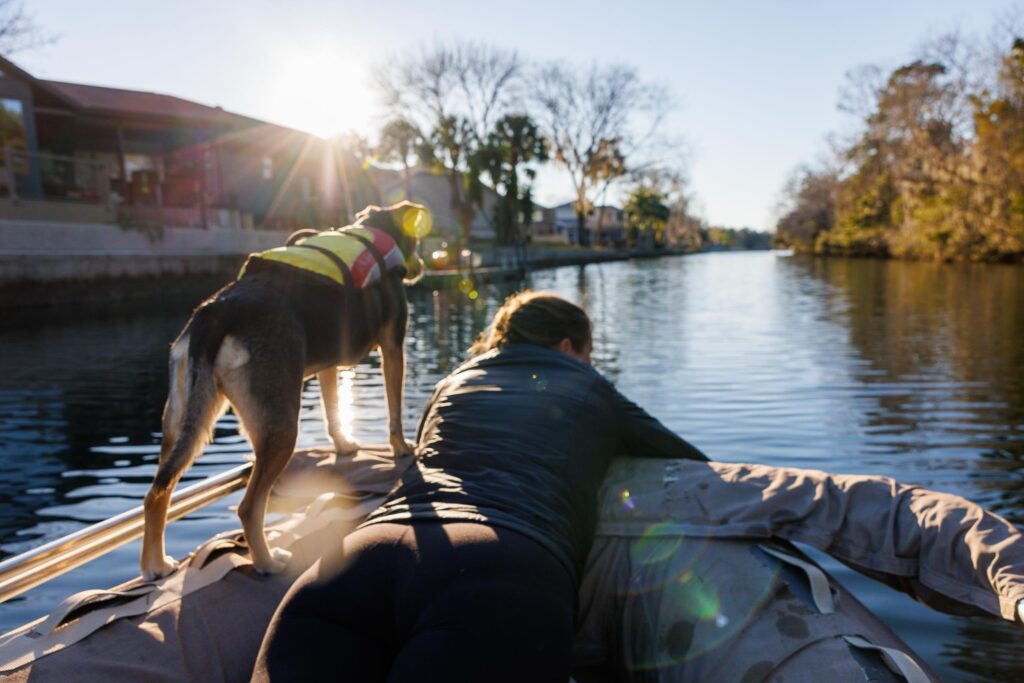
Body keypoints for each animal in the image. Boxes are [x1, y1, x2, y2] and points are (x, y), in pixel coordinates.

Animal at [141, 200, 428, 581]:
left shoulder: (329, 364)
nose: (422, 265)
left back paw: (155, 566)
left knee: (157, 492)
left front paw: (344, 445)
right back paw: (267, 562)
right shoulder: (394, 346)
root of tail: (216, 311)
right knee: (249, 507)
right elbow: (394, 408)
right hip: (280, 427)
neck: (374, 232)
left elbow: (333, 410)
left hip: (182, 417)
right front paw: (402, 448)